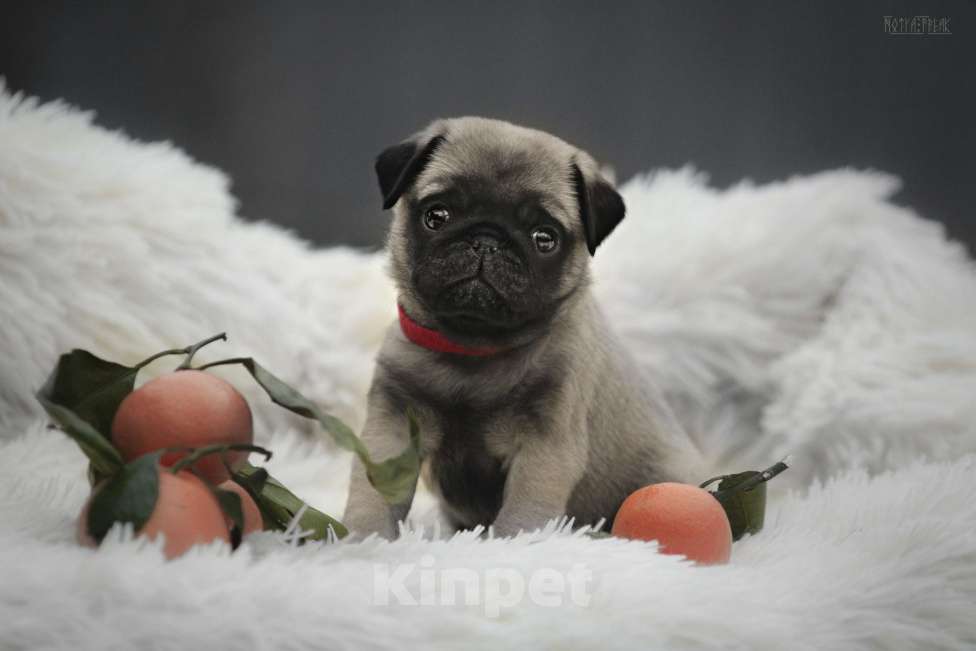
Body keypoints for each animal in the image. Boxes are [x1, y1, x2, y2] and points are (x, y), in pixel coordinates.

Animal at [344, 117, 700, 540]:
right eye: (437, 216)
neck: (473, 348)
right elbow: (373, 494)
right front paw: (362, 538)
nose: (486, 240)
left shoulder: (543, 448)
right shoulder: (392, 426)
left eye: (544, 238)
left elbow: (522, 515)